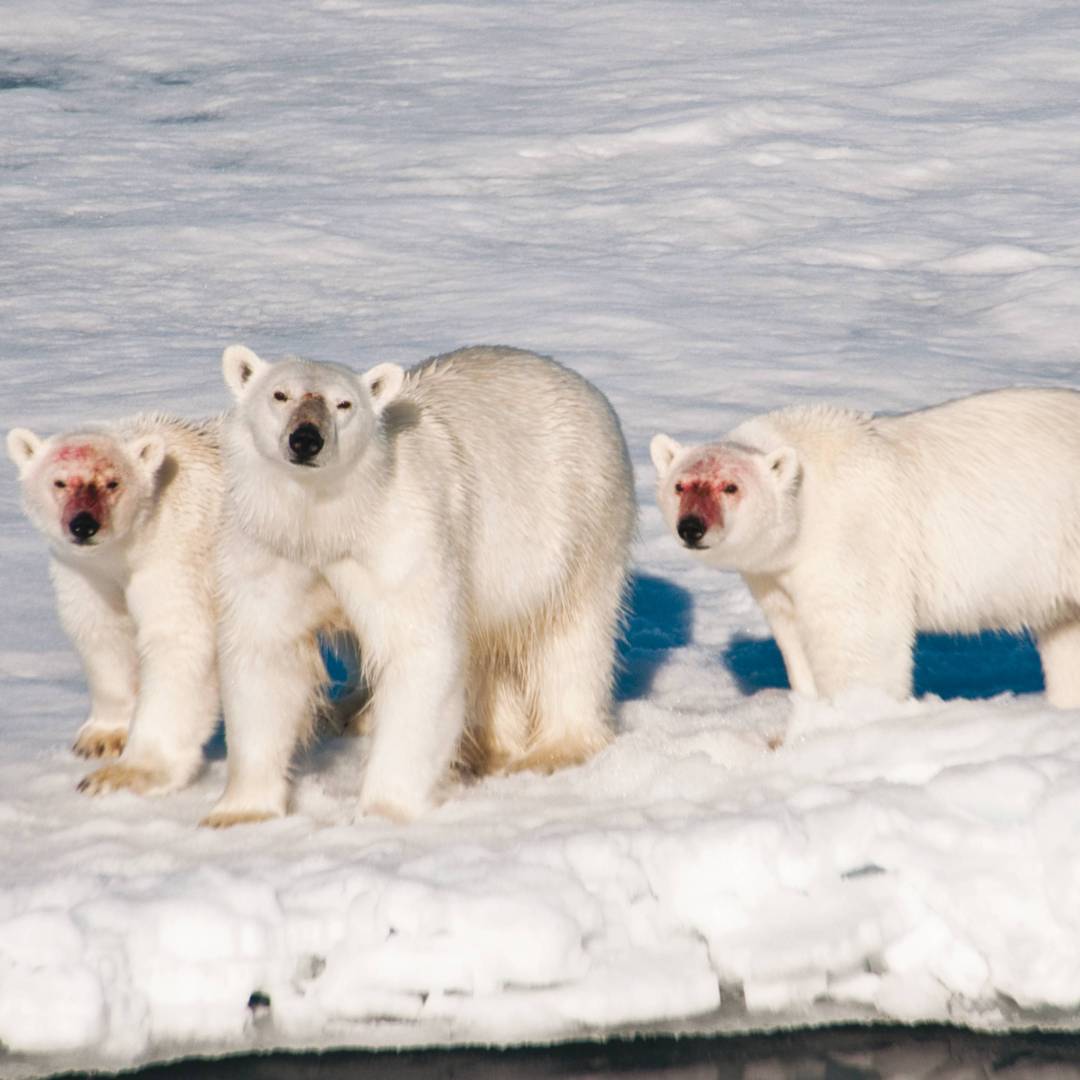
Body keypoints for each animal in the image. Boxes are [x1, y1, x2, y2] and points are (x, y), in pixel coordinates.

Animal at [6, 415, 224, 794]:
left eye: (112, 483)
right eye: (60, 481)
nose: (83, 525)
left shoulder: (179, 551)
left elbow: (178, 639)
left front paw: (125, 774)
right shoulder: (84, 569)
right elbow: (100, 628)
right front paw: (102, 737)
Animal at [203, 344, 636, 827]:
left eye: (343, 403)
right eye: (280, 394)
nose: (306, 439)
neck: (332, 524)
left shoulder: (402, 542)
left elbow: (418, 652)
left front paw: (383, 810)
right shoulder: (271, 549)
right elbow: (265, 658)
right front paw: (240, 812)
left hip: (577, 523)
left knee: (570, 636)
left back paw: (556, 749)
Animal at [651, 388, 1080, 707]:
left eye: (730, 487)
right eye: (680, 485)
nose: (692, 527)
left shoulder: (853, 537)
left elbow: (858, 637)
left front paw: (855, 714)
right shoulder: (774, 574)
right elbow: (794, 634)